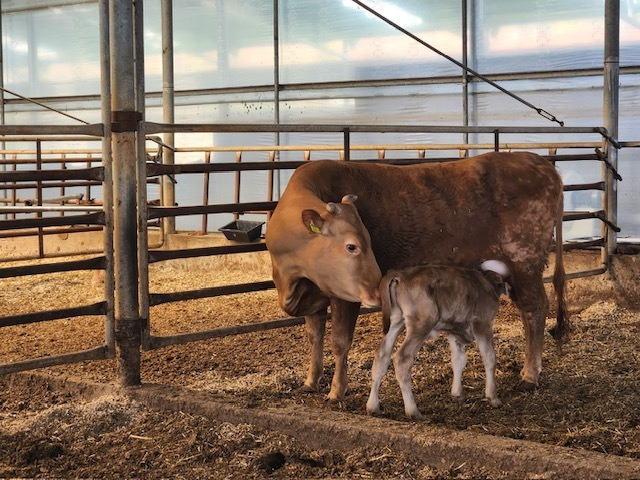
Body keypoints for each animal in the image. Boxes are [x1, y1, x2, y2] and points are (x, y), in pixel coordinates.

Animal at [266, 152, 568, 400]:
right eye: (352, 245)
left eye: (365, 241)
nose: (377, 288)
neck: (293, 278)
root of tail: (541, 164)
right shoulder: (313, 295)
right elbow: (314, 336)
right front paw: (311, 381)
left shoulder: (343, 295)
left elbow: (339, 341)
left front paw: (336, 391)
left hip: (525, 260)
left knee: (534, 308)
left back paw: (530, 375)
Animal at [364, 260, 510, 418]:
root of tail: (399, 273)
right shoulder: (482, 323)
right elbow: (489, 358)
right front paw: (493, 397)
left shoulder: (454, 330)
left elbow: (458, 360)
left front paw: (457, 394)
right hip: (423, 322)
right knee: (402, 358)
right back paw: (413, 411)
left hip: (396, 321)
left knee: (381, 355)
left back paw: (373, 406)